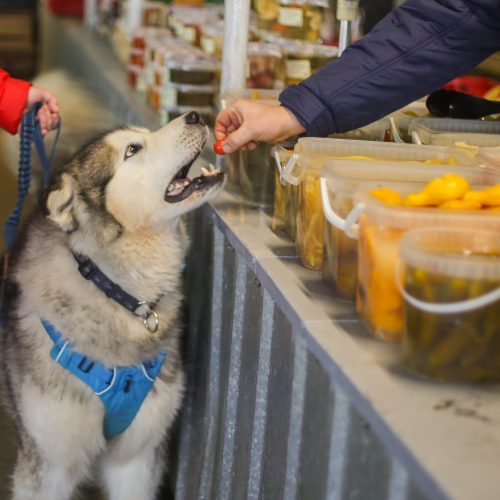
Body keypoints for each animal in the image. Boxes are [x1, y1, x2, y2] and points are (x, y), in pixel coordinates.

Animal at [0, 112, 225, 500]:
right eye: (133, 150)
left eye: (147, 133)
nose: (195, 115)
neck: (117, 291)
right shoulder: (48, 466)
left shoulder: (137, 459)